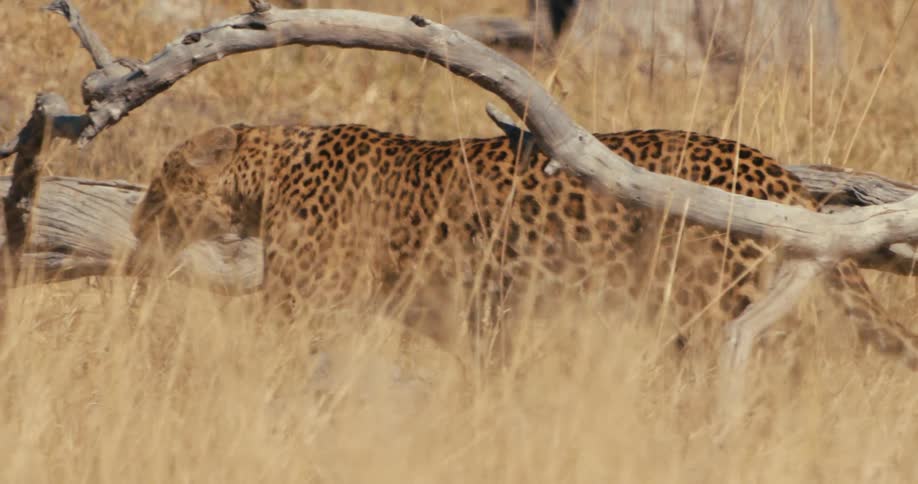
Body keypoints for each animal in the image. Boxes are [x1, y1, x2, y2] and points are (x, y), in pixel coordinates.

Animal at [130, 122, 918, 368]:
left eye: (162, 179)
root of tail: (768, 162)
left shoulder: (302, 305)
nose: (137, 226)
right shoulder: (473, 314)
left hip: (703, 300)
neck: (264, 175)